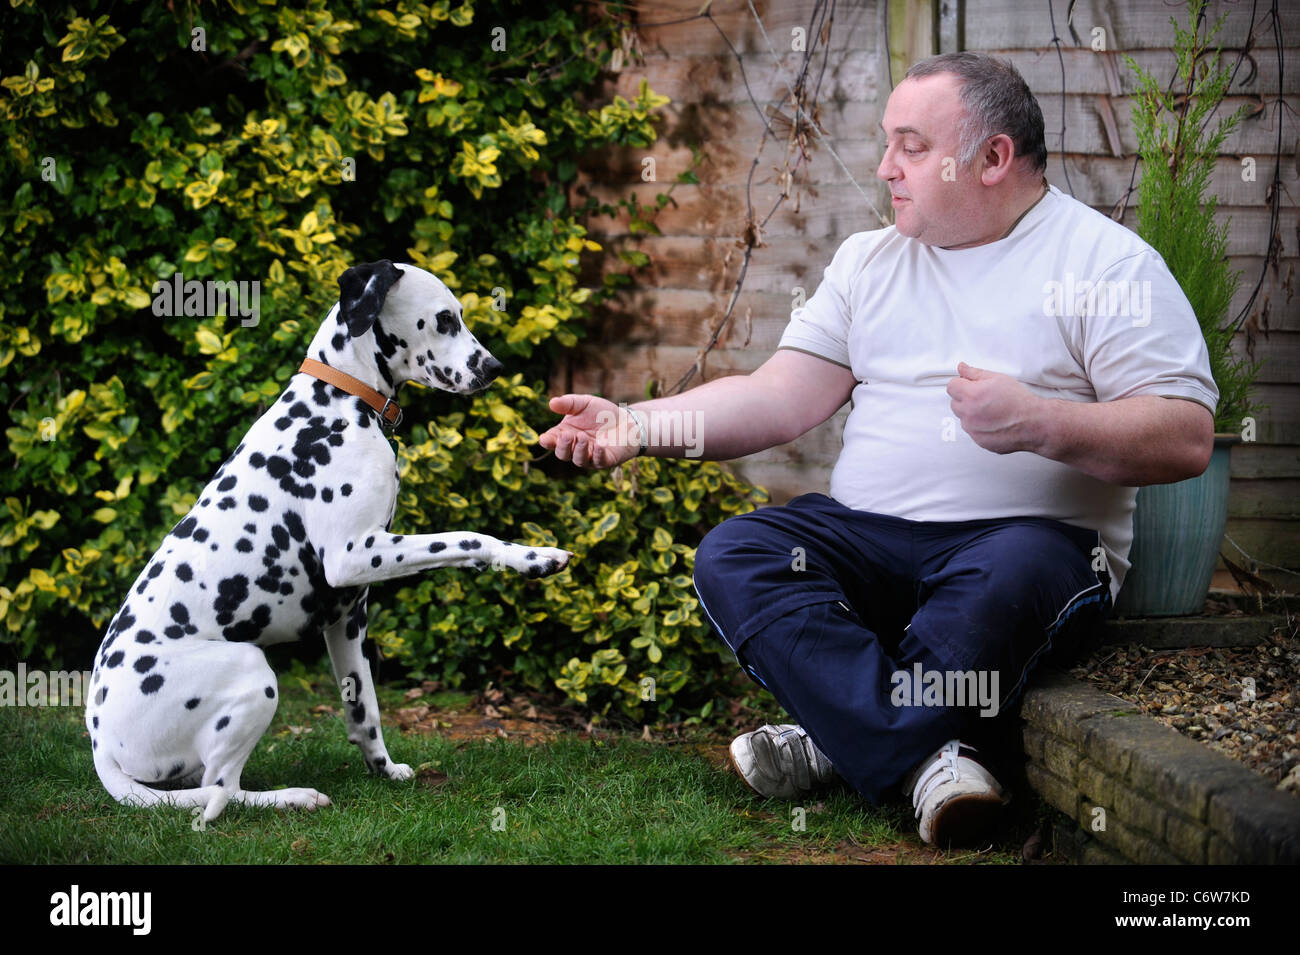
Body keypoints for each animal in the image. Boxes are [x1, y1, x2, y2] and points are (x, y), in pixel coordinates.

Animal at [83, 259, 566, 821]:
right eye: (446, 319)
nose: (494, 367)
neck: (343, 399)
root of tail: (101, 748)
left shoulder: (348, 617)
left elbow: (365, 711)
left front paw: (385, 770)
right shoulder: (355, 556)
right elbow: (469, 538)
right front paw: (533, 557)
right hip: (253, 670)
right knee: (221, 788)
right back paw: (292, 797)